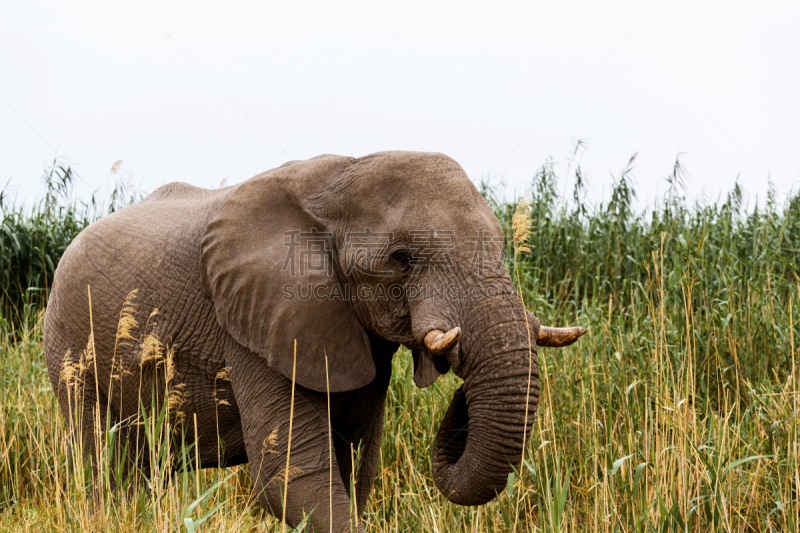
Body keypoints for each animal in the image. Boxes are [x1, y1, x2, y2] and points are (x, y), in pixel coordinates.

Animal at [45, 152, 588, 528]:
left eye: (501, 244)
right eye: (401, 258)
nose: (459, 373)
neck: (342, 177)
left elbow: (356, 465)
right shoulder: (254, 321)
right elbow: (295, 475)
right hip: (68, 346)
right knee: (103, 466)